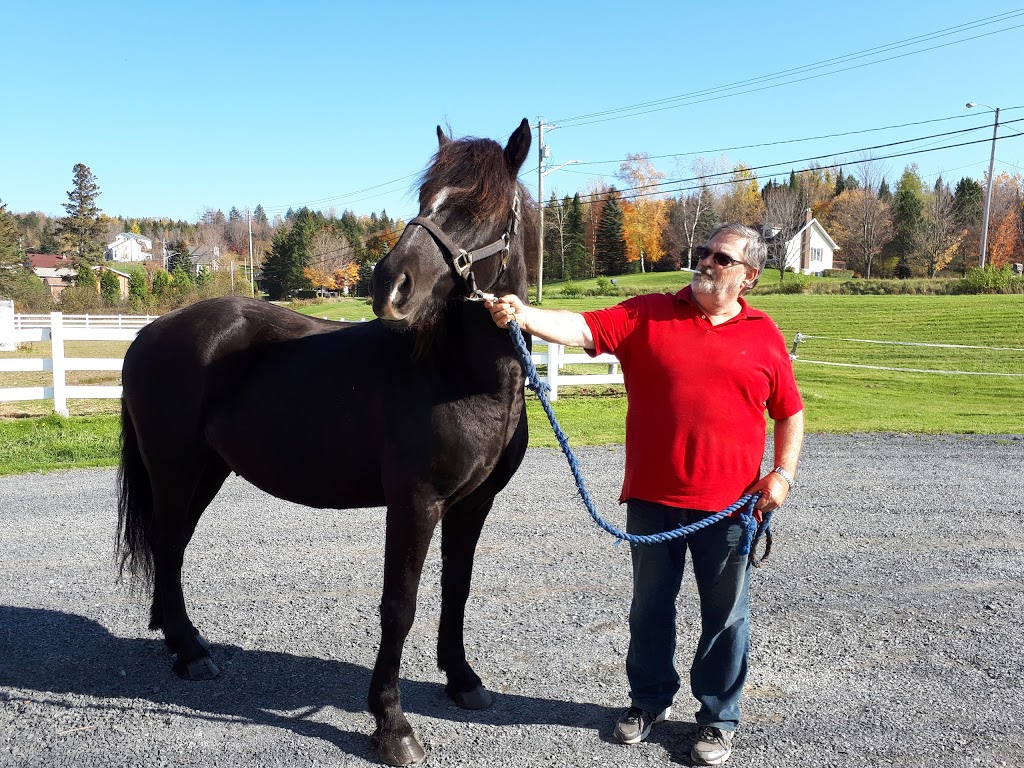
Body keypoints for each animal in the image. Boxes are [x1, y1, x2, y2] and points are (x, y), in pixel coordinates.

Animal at [116, 117, 536, 765]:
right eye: (426, 197)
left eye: (481, 208)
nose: (391, 285)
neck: (459, 376)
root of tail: (149, 334)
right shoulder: (414, 505)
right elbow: (399, 605)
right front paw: (391, 725)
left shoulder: (472, 505)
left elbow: (457, 590)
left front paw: (463, 682)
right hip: (174, 470)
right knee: (166, 543)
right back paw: (189, 652)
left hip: (205, 473)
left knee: (174, 546)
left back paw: (181, 640)